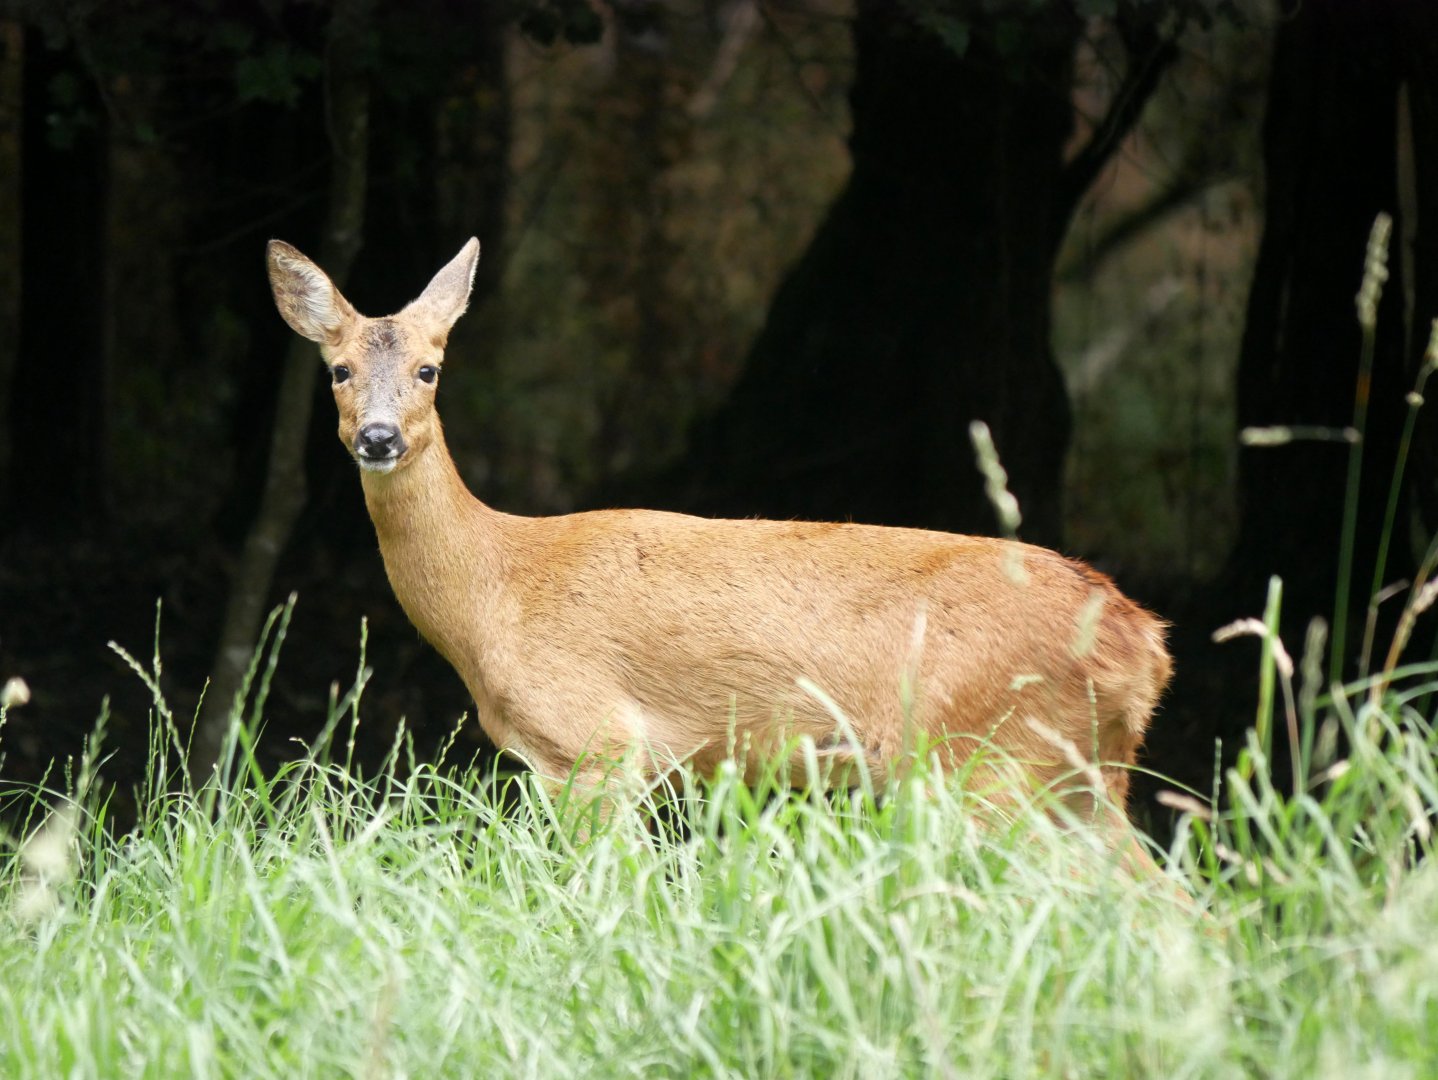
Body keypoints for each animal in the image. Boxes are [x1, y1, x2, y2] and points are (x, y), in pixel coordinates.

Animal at [266, 236, 1174, 868]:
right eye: (338, 370)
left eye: (429, 369)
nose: (378, 438)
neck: (497, 588)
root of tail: (1145, 641)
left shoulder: (598, 745)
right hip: (1076, 773)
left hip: (989, 758)